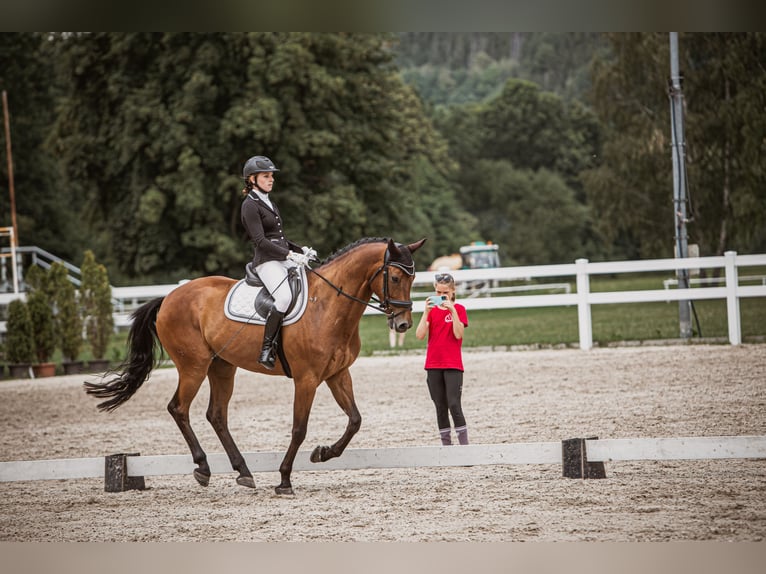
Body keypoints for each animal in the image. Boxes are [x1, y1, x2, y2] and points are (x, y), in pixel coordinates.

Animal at [88, 238, 432, 496]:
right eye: (396, 277)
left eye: (414, 278)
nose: (402, 324)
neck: (328, 305)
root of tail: (169, 296)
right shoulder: (306, 379)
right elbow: (299, 428)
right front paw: (284, 479)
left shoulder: (337, 374)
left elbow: (355, 420)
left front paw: (323, 453)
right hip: (193, 365)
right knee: (178, 408)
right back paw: (203, 468)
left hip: (222, 366)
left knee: (216, 415)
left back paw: (243, 472)